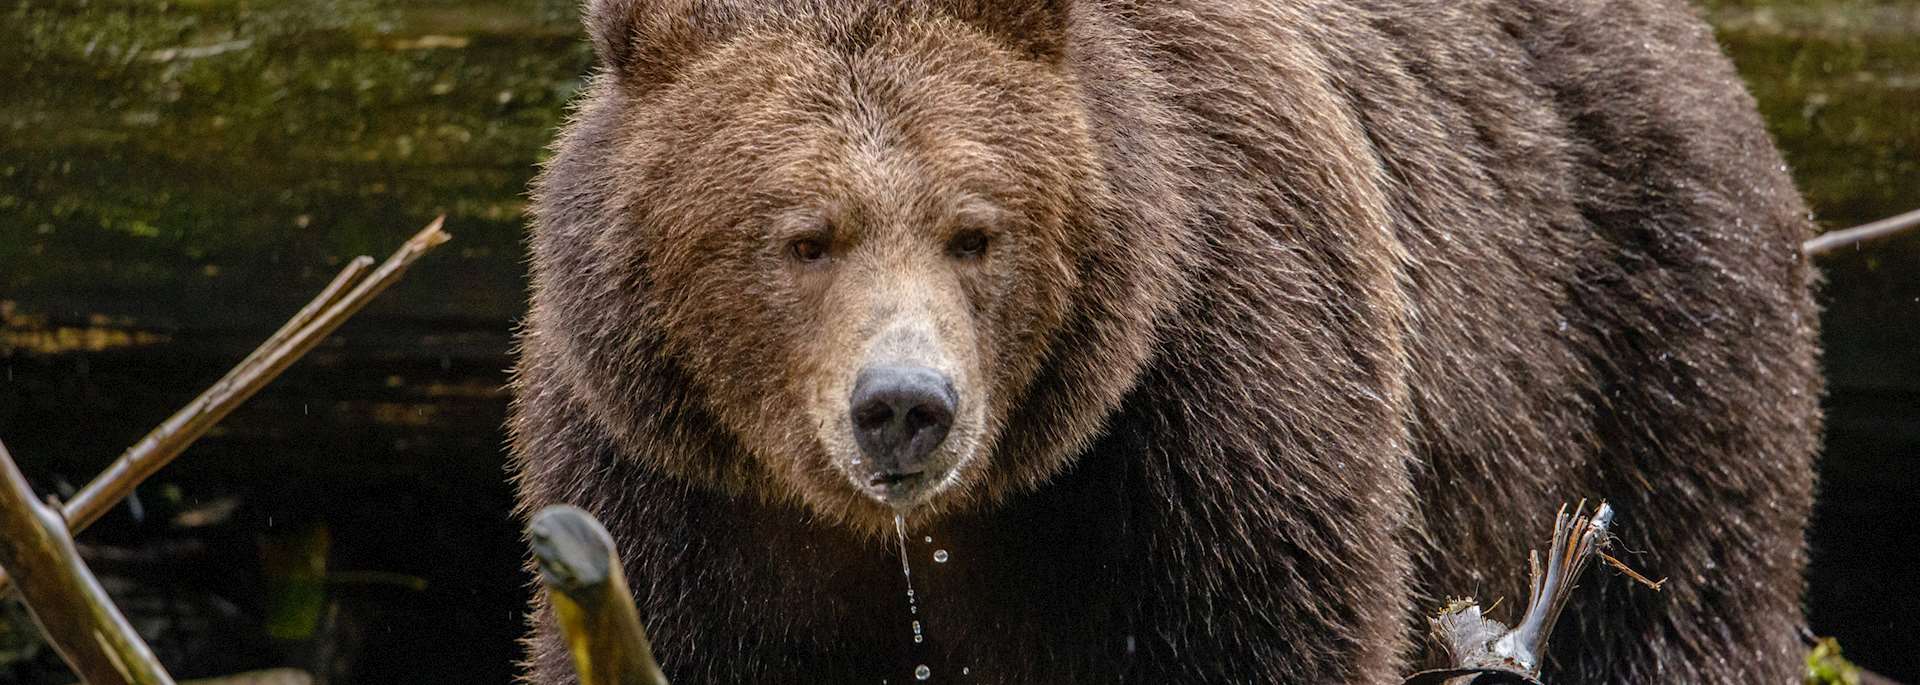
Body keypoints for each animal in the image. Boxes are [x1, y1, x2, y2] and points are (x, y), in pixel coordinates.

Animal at [509, 0, 1822, 683]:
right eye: (804, 236)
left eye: (974, 230)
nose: (905, 404)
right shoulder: (671, 495)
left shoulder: (1218, 422)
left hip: (1652, 334)